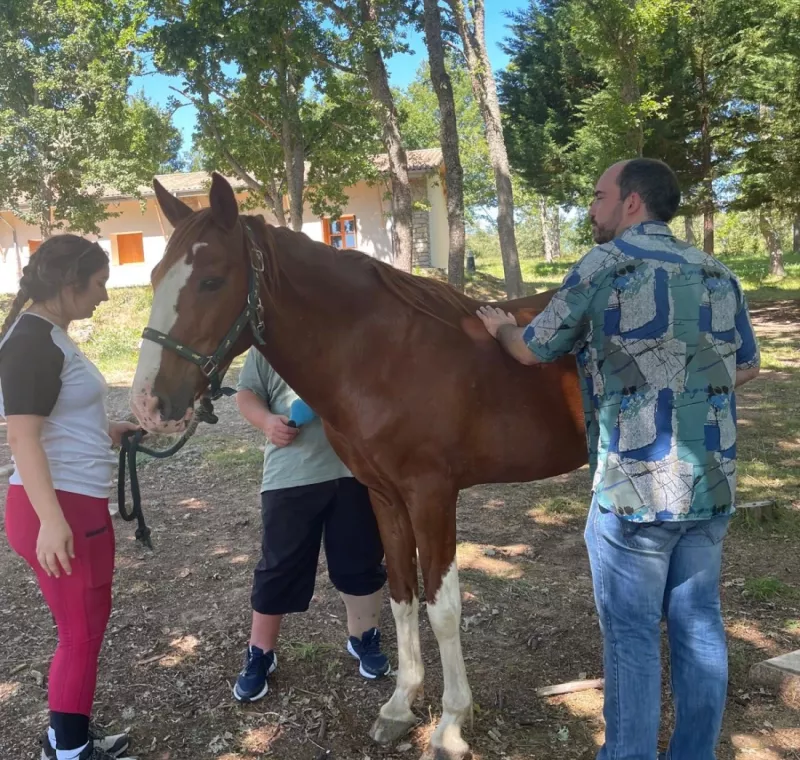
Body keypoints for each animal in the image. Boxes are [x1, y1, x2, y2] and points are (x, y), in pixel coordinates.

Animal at [130, 172, 588, 760]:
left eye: (211, 280)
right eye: (155, 276)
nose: (148, 404)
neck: (385, 355)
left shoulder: (432, 495)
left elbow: (443, 608)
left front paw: (450, 726)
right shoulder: (384, 496)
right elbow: (400, 595)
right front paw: (399, 706)